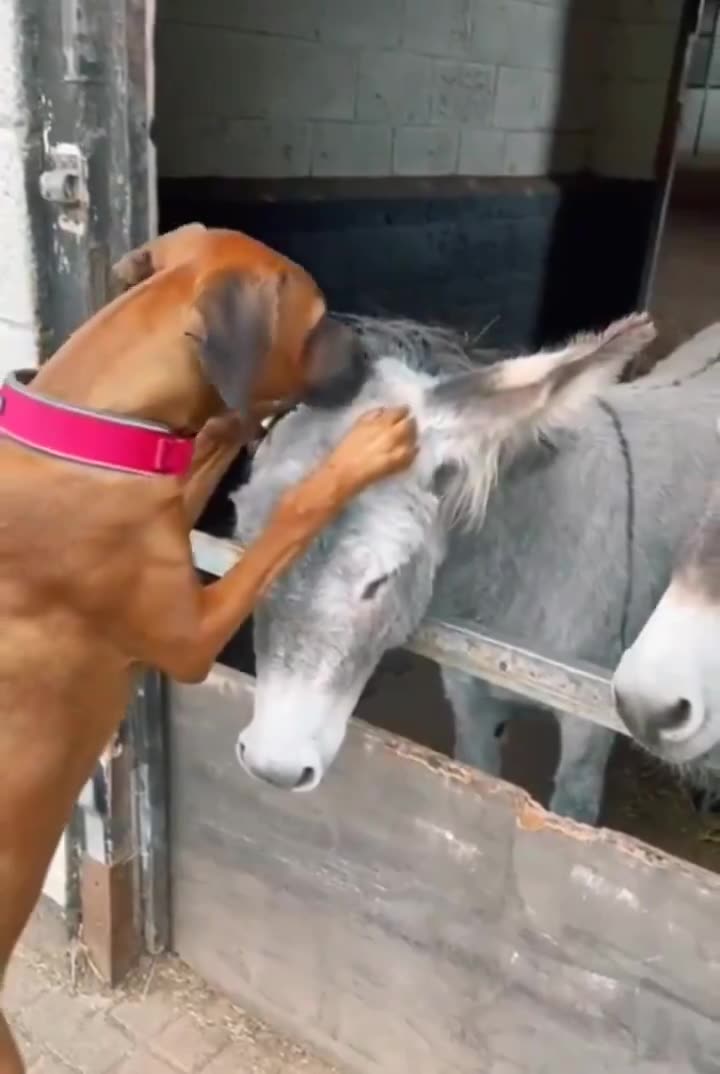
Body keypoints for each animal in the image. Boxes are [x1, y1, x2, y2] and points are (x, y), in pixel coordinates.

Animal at [0, 222, 416, 1069]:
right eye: (317, 319)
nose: (367, 350)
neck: (93, 424)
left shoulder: (164, 488)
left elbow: (213, 438)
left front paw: (236, 423)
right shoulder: (194, 633)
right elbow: (293, 516)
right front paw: (355, 455)